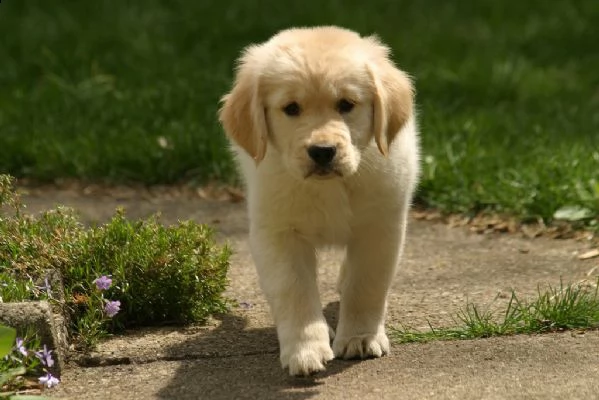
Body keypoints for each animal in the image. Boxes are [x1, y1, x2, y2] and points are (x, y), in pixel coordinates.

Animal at [218, 26, 420, 376]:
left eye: (346, 104)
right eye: (291, 109)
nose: (323, 151)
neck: (331, 187)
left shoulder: (380, 226)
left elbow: (366, 284)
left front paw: (360, 337)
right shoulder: (277, 232)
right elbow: (294, 291)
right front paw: (305, 349)